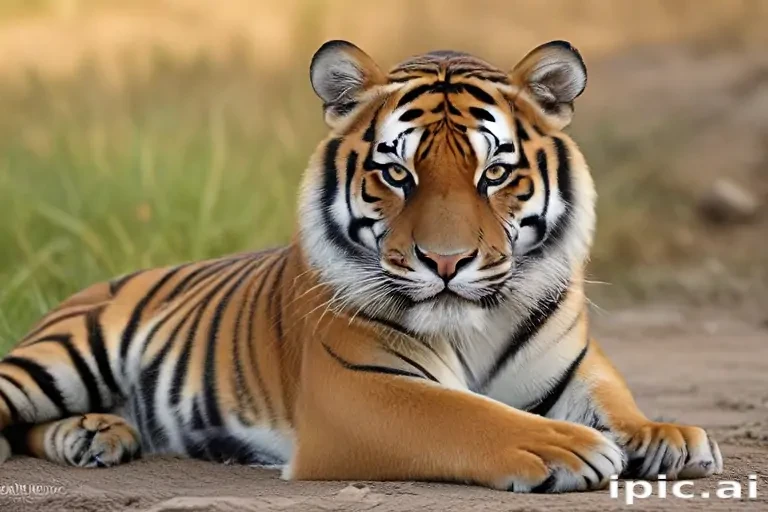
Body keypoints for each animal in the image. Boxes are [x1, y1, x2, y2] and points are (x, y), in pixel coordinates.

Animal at [0, 40, 722, 493]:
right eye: (396, 174)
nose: (446, 261)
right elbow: (465, 415)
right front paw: (565, 447)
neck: (474, 326)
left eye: (494, 174)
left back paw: (97, 433)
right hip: (60, 357)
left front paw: (667, 435)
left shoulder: (574, 365)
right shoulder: (360, 391)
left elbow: (614, 399)